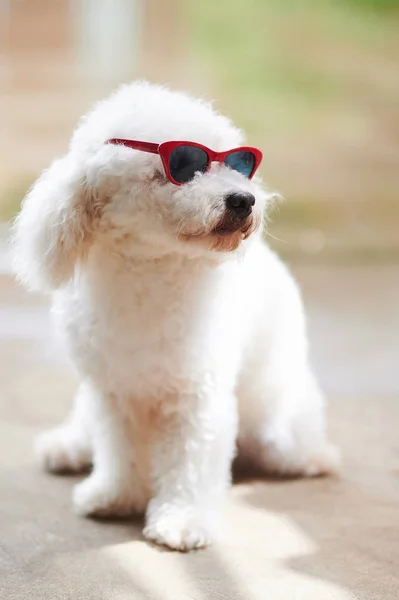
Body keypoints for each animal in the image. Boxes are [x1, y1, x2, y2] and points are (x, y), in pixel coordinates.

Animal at [11, 82, 338, 552]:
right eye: (183, 166)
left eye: (238, 164)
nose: (244, 200)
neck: (151, 270)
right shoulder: (114, 392)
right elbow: (119, 449)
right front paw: (116, 495)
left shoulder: (196, 395)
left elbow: (190, 461)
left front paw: (181, 521)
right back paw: (69, 445)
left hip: (277, 420)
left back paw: (314, 456)